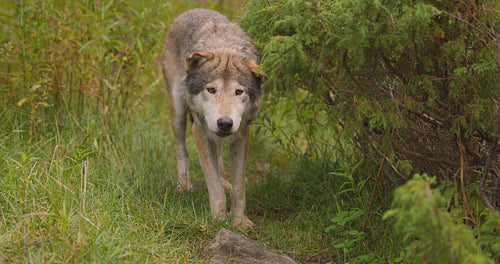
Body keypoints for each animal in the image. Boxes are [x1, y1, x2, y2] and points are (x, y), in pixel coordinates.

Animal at [162, 7, 264, 228]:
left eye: (238, 92)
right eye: (211, 90)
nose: (225, 123)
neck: (223, 45)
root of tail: (193, 10)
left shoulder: (242, 135)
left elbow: (239, 188)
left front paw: (240, 222)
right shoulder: (200, 133)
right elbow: (214, 188)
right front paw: (219, 219)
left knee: (219, 159)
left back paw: (224, 181)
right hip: (179, 115)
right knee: (182, 150)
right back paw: (184, 186)